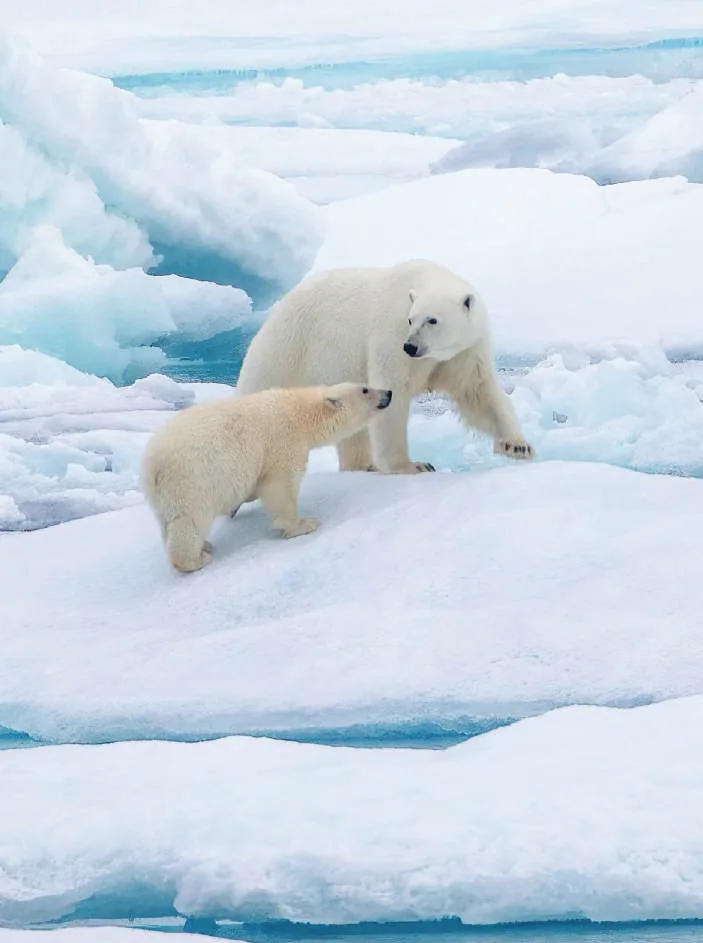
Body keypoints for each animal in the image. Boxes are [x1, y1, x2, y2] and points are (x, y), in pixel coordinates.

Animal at [141, 382, 392, 573]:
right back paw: (196, 558)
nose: (388, 393)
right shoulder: (283, 443)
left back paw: (204, 546)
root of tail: (150, 466)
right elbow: (280, 487)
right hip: (192, 482)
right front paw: (303, 524)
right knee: (189, 521)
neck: (299, 411)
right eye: (365, 389)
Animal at [237, 259, 533, 475]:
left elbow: (477, 391)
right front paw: (413, 465)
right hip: (287, 349)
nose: (410, 347)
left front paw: (518, 446)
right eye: (412, 319)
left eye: (432, 320)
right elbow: (393, 392)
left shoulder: (464, 349)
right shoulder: (391, 333)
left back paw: (363, 466)